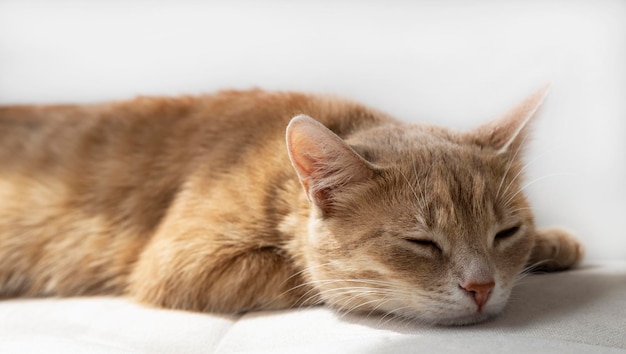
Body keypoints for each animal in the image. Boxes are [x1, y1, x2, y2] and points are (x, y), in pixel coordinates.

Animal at [0, 85, 580, 324]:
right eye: (421, 243)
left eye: (505, 233)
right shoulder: (178, 265)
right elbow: (305, 276)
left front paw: (552, 243)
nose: (482, 288)